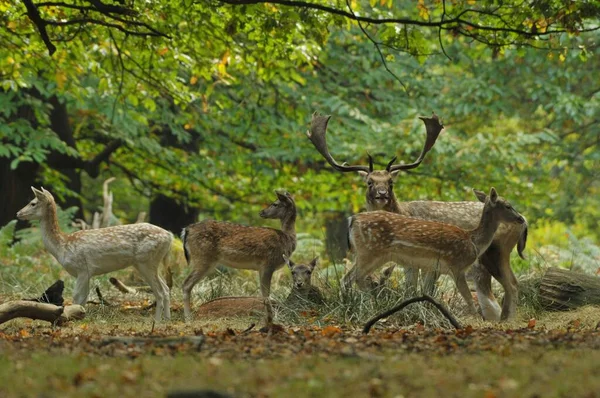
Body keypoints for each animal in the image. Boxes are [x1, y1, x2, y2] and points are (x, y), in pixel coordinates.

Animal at [15, 188, 173, 322]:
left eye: (33, 202)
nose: (18, 213)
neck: (62, 246)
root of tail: (169, 236)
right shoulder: (87, 273)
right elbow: (83, 298)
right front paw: (80, 316)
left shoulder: (82, 268)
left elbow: (76, 296)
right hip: (149, 263)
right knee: (166, 289)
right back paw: (167, 319)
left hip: (146, 261)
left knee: (159, 292)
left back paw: (157, 321)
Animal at [180, 190, 298, 326]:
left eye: (275, 204)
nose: (261, 212)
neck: (287, 239)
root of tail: (186, 230)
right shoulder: (268, 264)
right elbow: (266, 295)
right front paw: (269, 320)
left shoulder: (262, 268)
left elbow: (263, 294)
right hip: (203, 257)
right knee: (186, 284)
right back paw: (188, 318)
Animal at [344, 188, 524, 316]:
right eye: (508, 205)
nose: (521, 218)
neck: (473, 241)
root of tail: (352, 219)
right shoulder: (456, 266)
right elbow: (468, 298)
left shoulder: (434, 268)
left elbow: (426, 293)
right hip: (369, 252)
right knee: (349, 278)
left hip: (372, 255)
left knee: (354, 277)